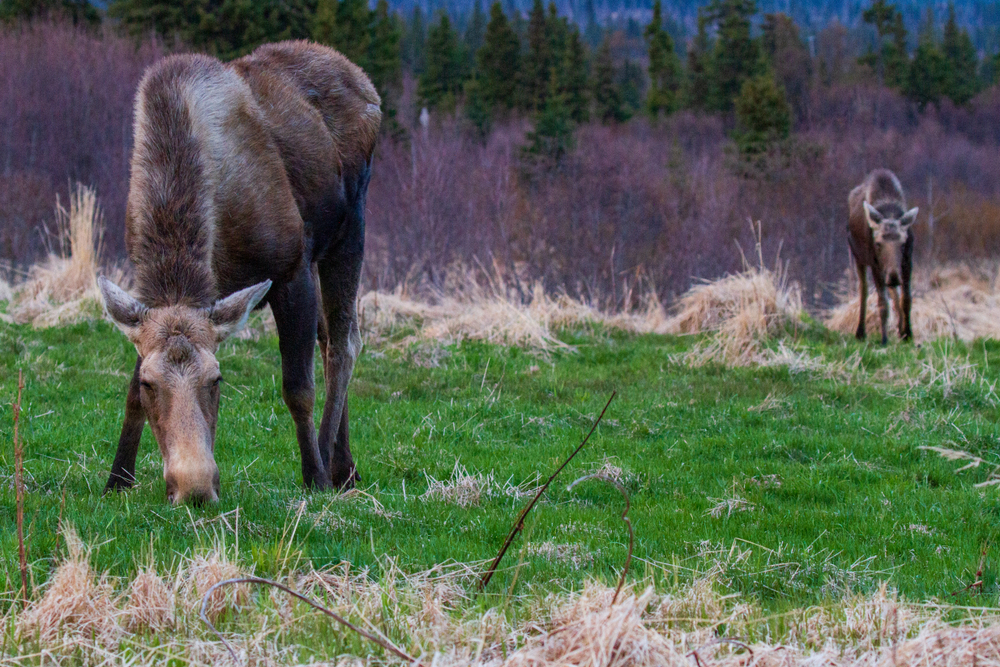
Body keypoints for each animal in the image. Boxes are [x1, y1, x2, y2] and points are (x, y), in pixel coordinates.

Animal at [99, 41, 382, 504]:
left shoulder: (291, 268)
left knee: (344, 342)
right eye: (149, 383)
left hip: (348, 228)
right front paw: (118, 478)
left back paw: (329, 461)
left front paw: (314, 476)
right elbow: (127, 396)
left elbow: (297, 388)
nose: (194, 487)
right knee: (328, 337)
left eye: (217, 379)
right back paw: (347, 466)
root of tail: (366, 83)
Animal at [848, 168, 916, 344]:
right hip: (858, 257)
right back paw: (860, 332)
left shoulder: (907, 261)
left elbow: (906, 298)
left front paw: (907, 334)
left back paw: (899, 329)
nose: (893, 277)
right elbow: (882, 302)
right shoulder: (875, 264)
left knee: (894, 293)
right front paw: (884, 339)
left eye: (903, 244)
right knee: (863, 290)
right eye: (878, 244)